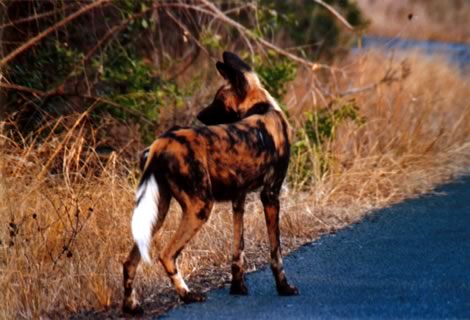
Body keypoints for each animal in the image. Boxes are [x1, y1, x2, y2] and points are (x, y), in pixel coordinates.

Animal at [121, 51, 298, 314]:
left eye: (218, 101)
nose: (199, 116)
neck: (262, 107)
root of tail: (161, 143)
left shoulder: (239, 200)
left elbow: (238, 250)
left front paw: (238, 288)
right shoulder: (270, 195)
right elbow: (276, 251)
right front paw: (284, 287)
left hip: (159, 211)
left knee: (130, 261)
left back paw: (131, 306)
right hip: (200, 208)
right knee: (166, 255)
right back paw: (187, 295)